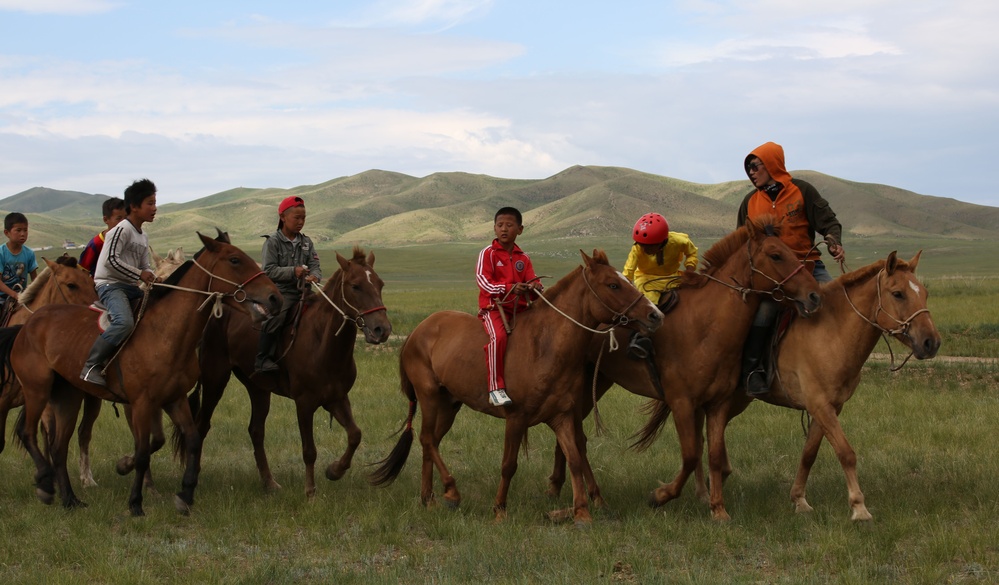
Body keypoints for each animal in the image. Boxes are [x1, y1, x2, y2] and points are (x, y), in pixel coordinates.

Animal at [0, 233, 282, 516]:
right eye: (235, 260)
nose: (275, 298)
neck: (165, 332)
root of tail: (27, 326)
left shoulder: (173, 399)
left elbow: (188, 440)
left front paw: (184, 494)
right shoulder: (140, 403)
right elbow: (144, 449)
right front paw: (136, 501)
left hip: (67, 396)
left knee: (59, 446)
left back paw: (70, 499)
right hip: (37, 390)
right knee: (29, 432)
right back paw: (46, 485)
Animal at [184, 245, 390, 498]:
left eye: (380, 284)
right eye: (355, 286)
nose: (382, 329)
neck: (323, 343)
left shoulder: (336, 398)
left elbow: (355, 435)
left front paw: (334, 471)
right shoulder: (304, 403)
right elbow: (309, 450)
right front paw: (310, 491)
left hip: (258, 388)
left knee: (256, 431)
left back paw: (270, 483)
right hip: (215, 380)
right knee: (202, 425)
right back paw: (195, 476)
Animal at [370, 248, 664, 524]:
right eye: (613, 285)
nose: (655, 314)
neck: (545, 346)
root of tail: (418, 331)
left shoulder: (562, 416)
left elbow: (575, 457)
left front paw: (582, 512)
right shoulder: (516, 417)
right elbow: (509, 465)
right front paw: (499, 509)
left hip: (449, 404)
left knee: (431, 441)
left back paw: (428, 498)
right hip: (429, 396)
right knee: (427, 439)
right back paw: (451, 492)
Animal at [548, 217, 828, 516]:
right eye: (776, 255)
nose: (814, 296)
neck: (706, 327)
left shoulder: (717, 404)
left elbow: (713, 455)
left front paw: (718, 509)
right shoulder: (682, 402)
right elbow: (692, 455)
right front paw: (660, 496)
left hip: (597, 382)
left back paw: (561, 489)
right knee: (575, 439)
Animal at [640, 251, 936, 520]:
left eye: (924, 293)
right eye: (898, 294)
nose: (931, 342)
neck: (833, 332)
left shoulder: (830, 407)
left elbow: (809, 454)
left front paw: (799, 500)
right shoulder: (819, 404)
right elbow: (846, 452)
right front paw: (859, 507)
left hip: (733, 399)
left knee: (707, 436)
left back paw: (712, 485)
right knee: (700, 439)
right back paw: (703, 490)